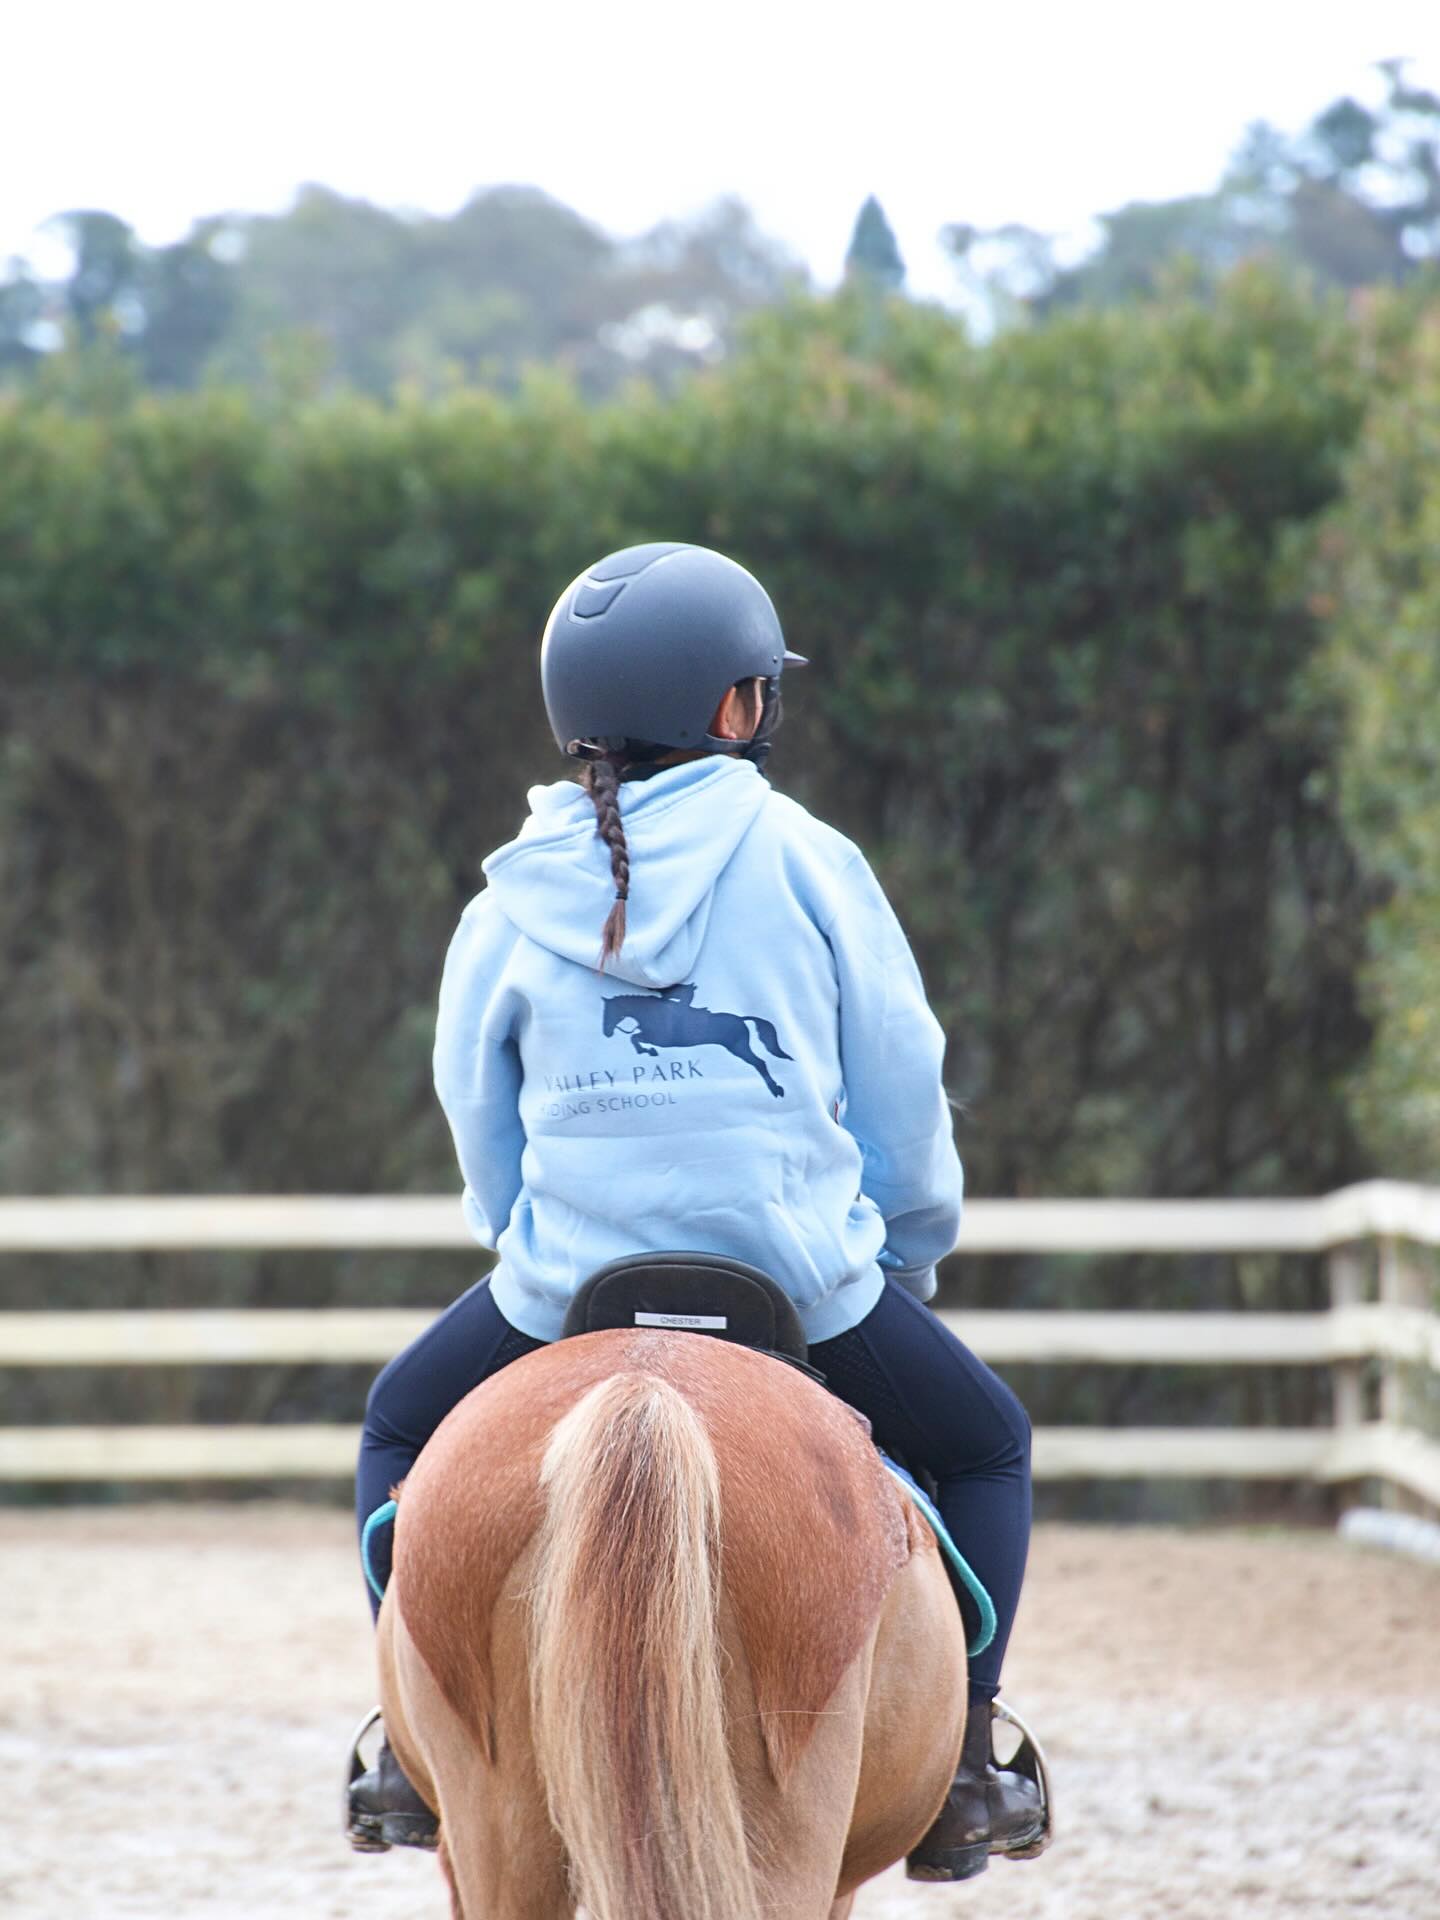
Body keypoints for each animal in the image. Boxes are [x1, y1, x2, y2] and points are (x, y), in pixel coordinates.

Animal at [601, 984, 793, 1099]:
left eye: (608, 1013)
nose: (606, 1033)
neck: (651, 1013)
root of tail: (740, 1019)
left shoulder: (660, 1039)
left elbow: (634, 1037)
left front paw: (648, 1051)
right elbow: (634, 1037)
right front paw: (647, 1051)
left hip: (738, 1047)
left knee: (759, 1063)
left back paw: (776, 1090)